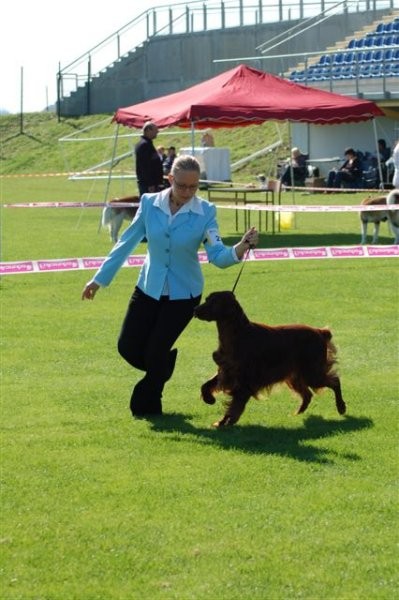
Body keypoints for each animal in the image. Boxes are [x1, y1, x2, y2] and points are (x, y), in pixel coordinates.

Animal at [195, 290, 346, 426]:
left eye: (214, 302)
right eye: (206, 299)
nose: (195, 309)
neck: (237, 333)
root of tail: (320, 331)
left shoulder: (244, 380)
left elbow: (235, 406)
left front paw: (225, 422)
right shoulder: (226, 371)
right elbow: (206, 385)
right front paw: (210, 400)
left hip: (312, 374)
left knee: (335, 381)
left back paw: (341, 407)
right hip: (296, 375)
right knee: (308, 394)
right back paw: (298, 413)